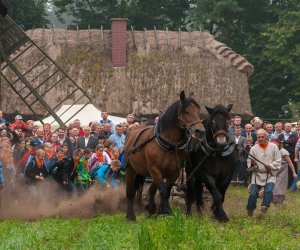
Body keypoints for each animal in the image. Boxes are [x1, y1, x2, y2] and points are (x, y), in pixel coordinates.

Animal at [123, 91, 204, 220]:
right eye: (186, 111)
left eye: (198, 111)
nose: (200, 131)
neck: (169, 144)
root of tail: (131, 132)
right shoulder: (155, 169)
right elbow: (163, 191)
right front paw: (166, 211)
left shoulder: (174, 172)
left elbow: (166, 189)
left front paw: (163, 211)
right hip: (130, 169)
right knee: (130, 191)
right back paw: (130, 216)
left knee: (151, 189)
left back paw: (151, 209)